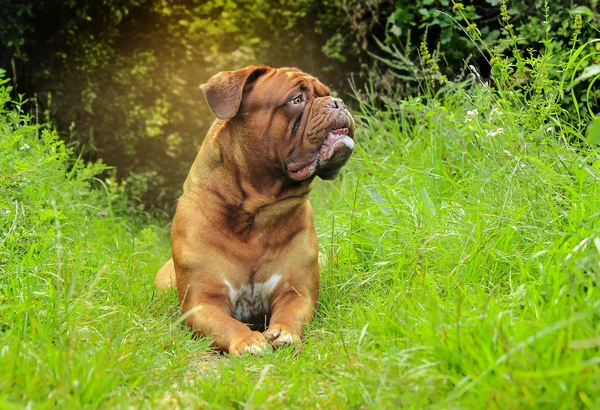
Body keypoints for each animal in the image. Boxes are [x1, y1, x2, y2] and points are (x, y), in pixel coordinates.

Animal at [152, 65, 356, 354]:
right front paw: (248, 340)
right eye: (296, 100)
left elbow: (290, 313)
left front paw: (284, 333)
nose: (338, 103)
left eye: (327, 93)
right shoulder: (203, 302)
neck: (257, 212)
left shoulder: (295, 291)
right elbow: (227, 324)